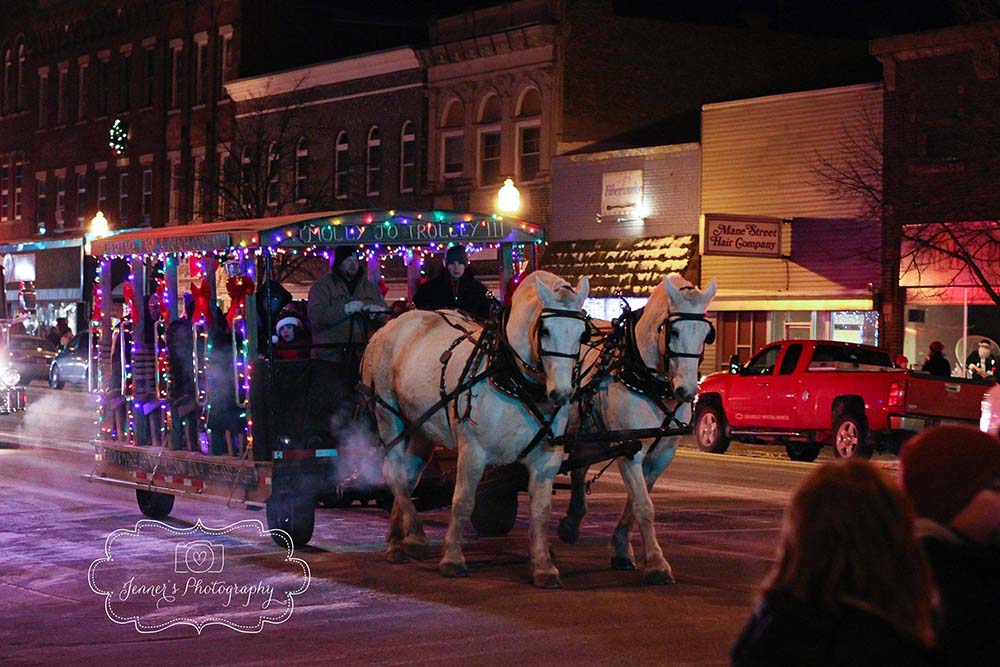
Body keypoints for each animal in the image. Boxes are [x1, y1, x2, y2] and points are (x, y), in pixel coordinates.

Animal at [364, 268, 588, 588]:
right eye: (544, 330)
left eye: (582, 333)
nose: (561, 394)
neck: (511, 377)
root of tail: (391, 325)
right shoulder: (474, 451)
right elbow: (463, 501)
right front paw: (453, 559)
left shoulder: (547, 459)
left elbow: (541, 512)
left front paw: (544, 566)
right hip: (388, 416)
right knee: (393, 472)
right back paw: (416, 537)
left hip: (421, 428)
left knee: (407, 476)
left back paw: (397, 540)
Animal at [560, 274, 716, 580]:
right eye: (673, 332)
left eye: (706, 334)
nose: (687, 391)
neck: (641, 375)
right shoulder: (630, 448)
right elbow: (644, 505)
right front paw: (656, 563)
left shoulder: (660, 455)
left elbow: (635, 501)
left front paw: (621, 549)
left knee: (579, 466)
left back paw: (572, 521)